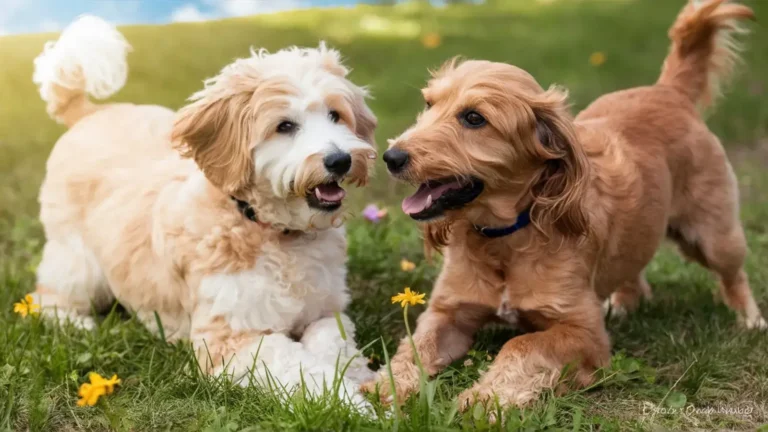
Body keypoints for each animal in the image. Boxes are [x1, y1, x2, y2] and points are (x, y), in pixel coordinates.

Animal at [364, 0, 764, 410]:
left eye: (474, 117)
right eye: (428, 104)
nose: (391, 157)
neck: (506, 238)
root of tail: (668, 91)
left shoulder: (584, 333)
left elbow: (520, 344)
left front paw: (485, 399)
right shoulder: (447, 312)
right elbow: (416, 346)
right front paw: (384, 386)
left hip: (712, 237)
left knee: (734, 275)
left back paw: (748, 320)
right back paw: (625, 299)